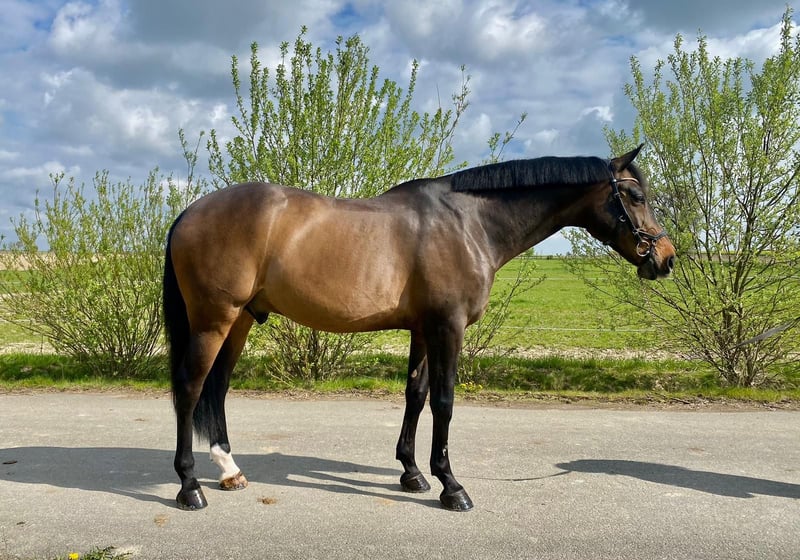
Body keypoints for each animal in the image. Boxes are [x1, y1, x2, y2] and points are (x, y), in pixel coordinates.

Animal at [162, 145, 676, 512]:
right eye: (635, 196)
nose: (667, 259)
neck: (469, 224)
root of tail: (189, 213)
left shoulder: (423, 329)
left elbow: (416, 393)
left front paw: (412, 473)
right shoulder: (448, 327)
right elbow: (444, 402)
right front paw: (451, 485)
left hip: (240, 320)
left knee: (217, 388)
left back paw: (229, 470)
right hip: (214, 319)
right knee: (190, 387)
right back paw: (190, 487)